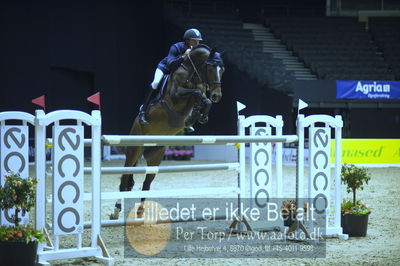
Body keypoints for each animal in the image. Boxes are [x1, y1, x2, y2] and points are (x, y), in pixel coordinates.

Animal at [111, 43, 223, 218]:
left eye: (222, 69)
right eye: (211, 68)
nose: (217, 95)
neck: (193, 72)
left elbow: (203, 99)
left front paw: (199, 117)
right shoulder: (176, 96)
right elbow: (196, 94)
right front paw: (197, 113)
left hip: (155, 157)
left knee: (146, 184)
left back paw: (141, 212)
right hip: (134, 150)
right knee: (124, 181)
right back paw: (116, 211)